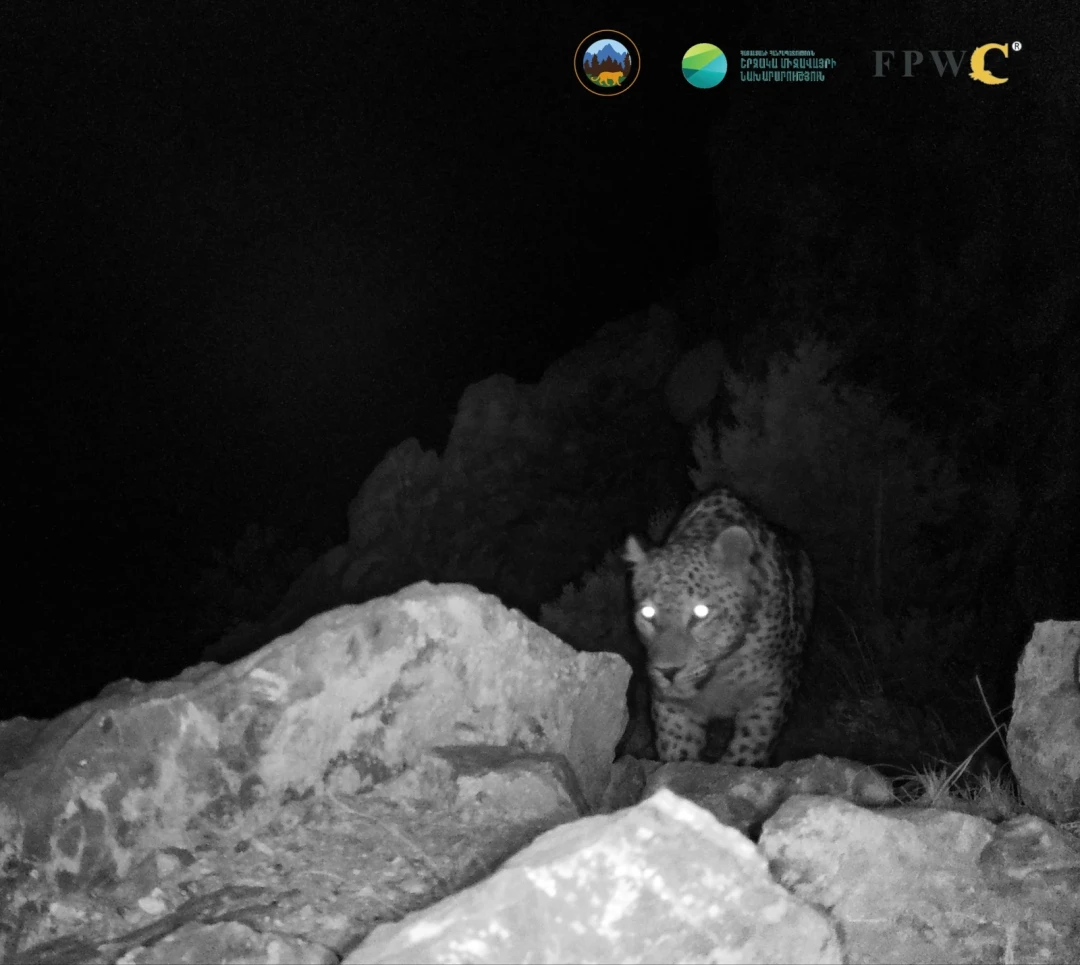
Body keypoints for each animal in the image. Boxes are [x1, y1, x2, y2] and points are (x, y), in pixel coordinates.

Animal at [624, 486, 814, 766]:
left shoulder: (772, 691)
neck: (720, 671)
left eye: (700, 612)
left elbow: (749, 747)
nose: (668, 671)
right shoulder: (670, 704)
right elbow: (677, 752)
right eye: (648, 613)